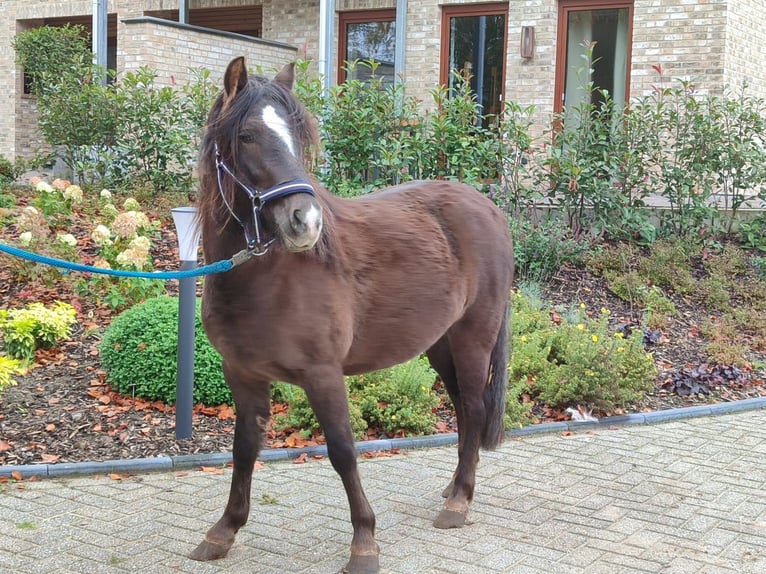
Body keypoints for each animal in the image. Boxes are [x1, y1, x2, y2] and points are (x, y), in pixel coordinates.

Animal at [192, 57, 516, 574]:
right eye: (246, 135)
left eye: (298, 134)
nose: (305, 221)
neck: (266, 277)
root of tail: (490, 208)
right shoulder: (242, 374)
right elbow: (244, 450)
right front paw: (223, 530)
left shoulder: (323, 373)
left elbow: (343, 450)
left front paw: (364, 542)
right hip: (439, 345)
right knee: (465, 409)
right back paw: (454, 488)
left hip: (473, 338)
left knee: (476, 406)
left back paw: (459, 501)